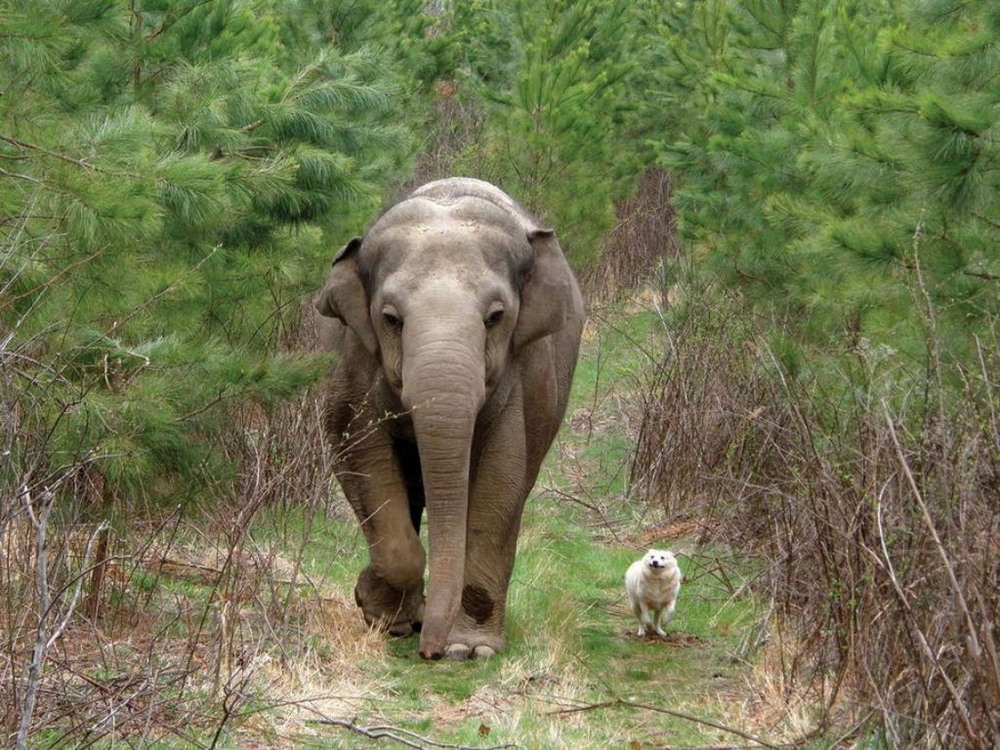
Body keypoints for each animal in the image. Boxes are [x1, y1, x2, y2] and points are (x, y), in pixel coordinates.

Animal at [314, 179, 584, 660]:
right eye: (391, 318)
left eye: (496, 317)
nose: (431, 652)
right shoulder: (352, 360)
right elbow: (360, 452)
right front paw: (379, 614)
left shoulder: (521, 373)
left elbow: (501, 482)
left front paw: (471, 650)